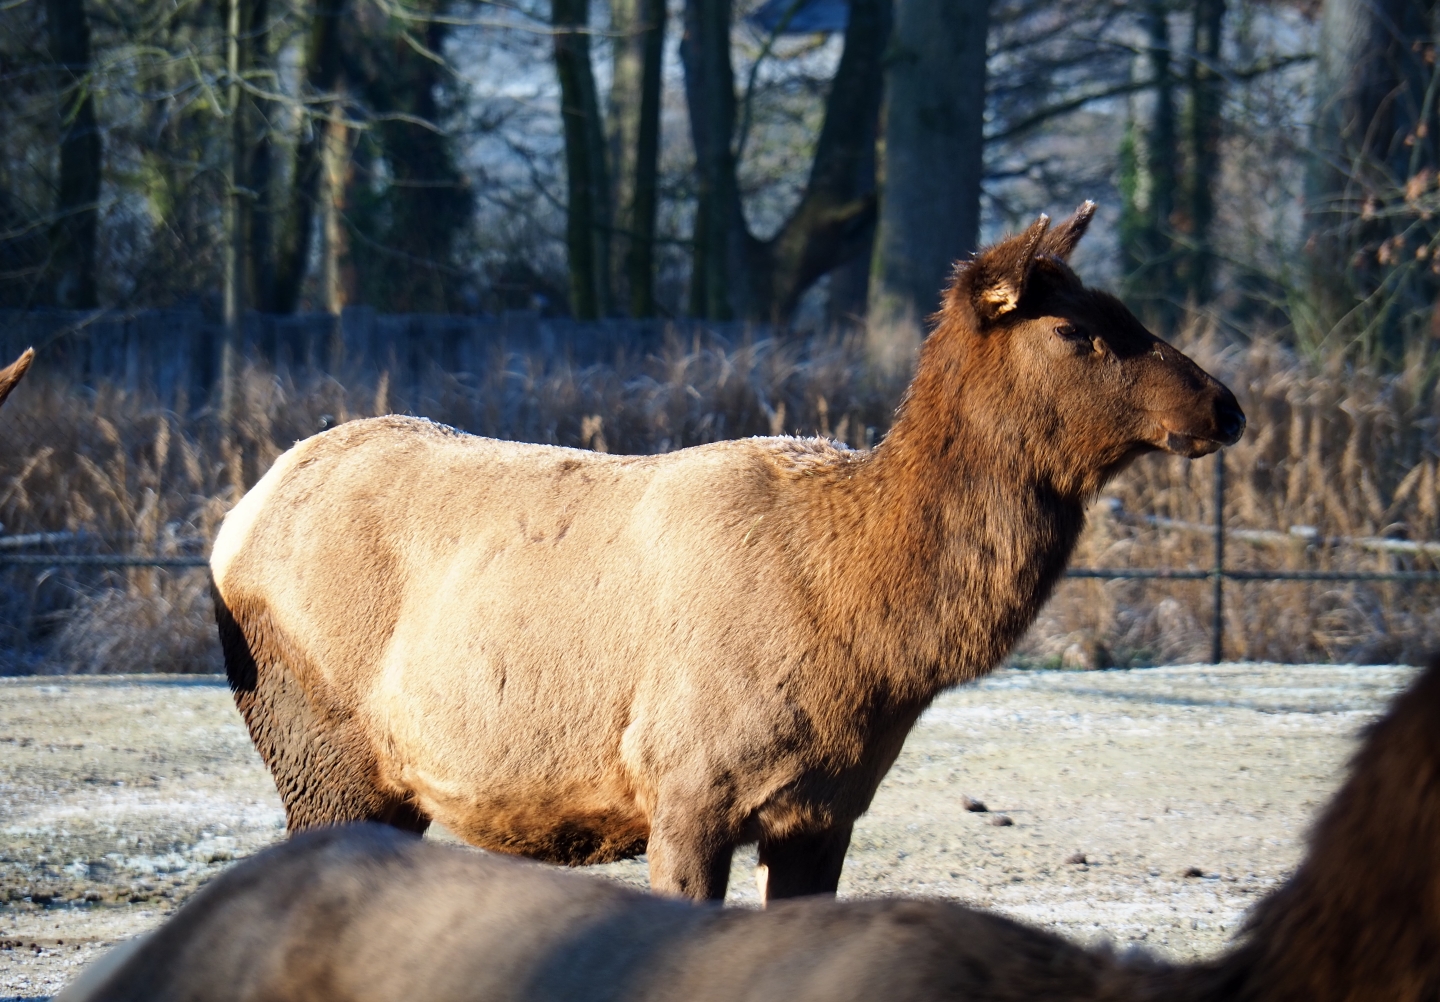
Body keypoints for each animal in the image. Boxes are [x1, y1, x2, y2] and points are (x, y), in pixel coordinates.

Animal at [208, 203, 1245, 901]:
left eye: (1126, 307)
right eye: (1076, 329)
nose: (1225, 406)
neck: (869, 644)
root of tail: (235, 522)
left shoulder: (827, 812)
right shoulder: (685, 785)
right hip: (321, 750)